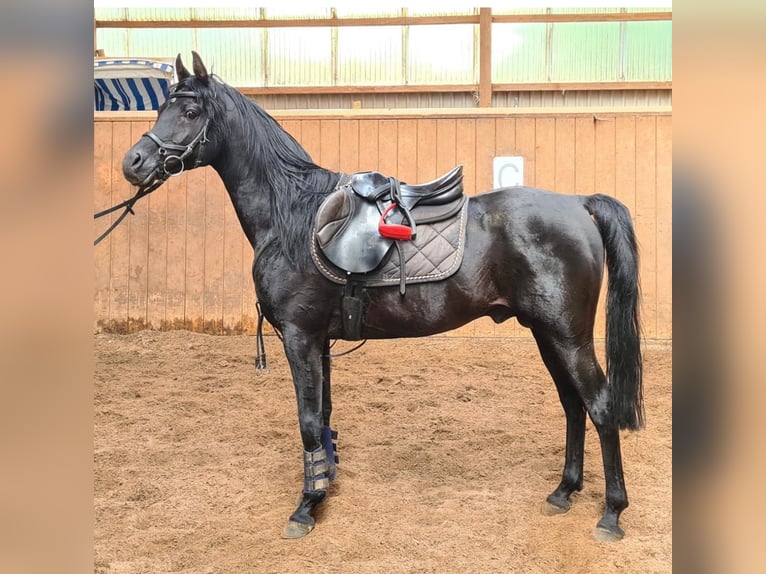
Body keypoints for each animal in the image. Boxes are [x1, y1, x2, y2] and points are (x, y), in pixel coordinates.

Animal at [121, 52, 644, 541]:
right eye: (163, 106)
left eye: (190, 111)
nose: (134, 163)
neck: (292, 215)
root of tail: (576, 203)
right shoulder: (319, 340)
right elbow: (323, 414)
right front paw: (324, 485)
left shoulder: (299, 337)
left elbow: (307, 420)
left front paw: (305, 507)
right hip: (546, 333)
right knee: (573, 405)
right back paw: (564, 491)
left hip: (567, 336)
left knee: (599, 406)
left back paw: (611, 512)